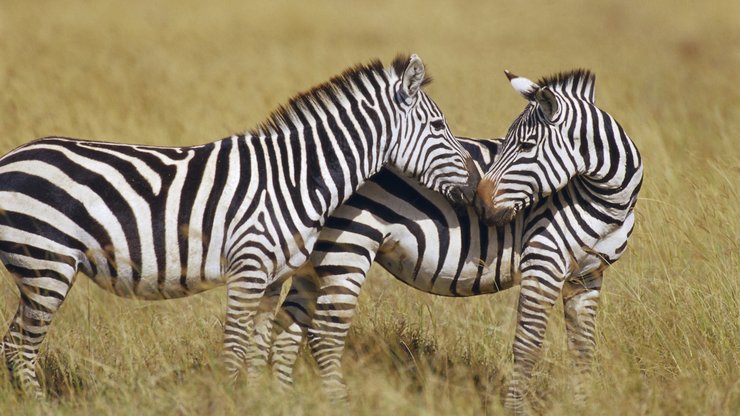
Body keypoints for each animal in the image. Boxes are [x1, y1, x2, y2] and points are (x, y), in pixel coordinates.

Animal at [0, 54, 480, 396]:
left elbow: (258, 348)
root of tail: (12, 157)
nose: (478, 182)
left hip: (39, 270)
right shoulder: (248, 268)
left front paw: (255, 398)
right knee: (21, 346)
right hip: (47, 265)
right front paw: (234, 401)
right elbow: (234, 348)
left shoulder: (274, 276)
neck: (296, 177)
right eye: (438, 125)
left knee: (13, 343)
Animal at [266, 68, 640, 412]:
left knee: (288, 324)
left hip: (316, 256)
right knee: (324, 333)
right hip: (349, 242)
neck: (608, 202)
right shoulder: (544, 262)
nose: (479, 202)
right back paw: (337, 403)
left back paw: (285, 398)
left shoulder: (588, 275)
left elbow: (583, 348)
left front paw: (583, 405)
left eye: (526, 146)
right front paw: (516, 408)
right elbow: (528, 343)